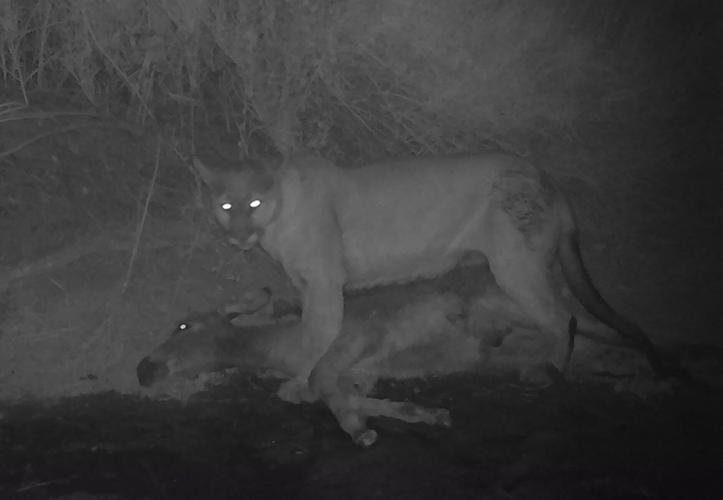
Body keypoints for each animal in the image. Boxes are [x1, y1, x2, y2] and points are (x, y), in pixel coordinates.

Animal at [193, 151, 668, 401]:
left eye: (254, 203)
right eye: (226, 205)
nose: (238, 234)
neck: (277, 222)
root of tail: (551, 183)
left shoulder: (326, 286)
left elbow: (316, 334)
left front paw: (296, 383)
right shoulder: (307, 285)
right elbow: (309, 329)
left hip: (517, 267)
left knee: (561, 319)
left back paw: (546, 371)